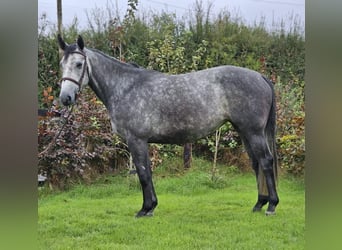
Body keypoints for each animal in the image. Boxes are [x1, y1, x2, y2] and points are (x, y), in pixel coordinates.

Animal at [57, 34, 280, 217]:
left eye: (79, 64)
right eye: (61, 64)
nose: (65, 98)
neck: (125, 87)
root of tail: (260, 77)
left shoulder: (136, 140)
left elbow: (143, 173)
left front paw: (145, 209)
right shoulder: (142, 142)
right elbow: (147, 171)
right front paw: (151, 207)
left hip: (253, 132)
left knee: (266, 161)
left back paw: (271, 206)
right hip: (244, 132)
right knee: (256, 163)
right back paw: (259, 204)